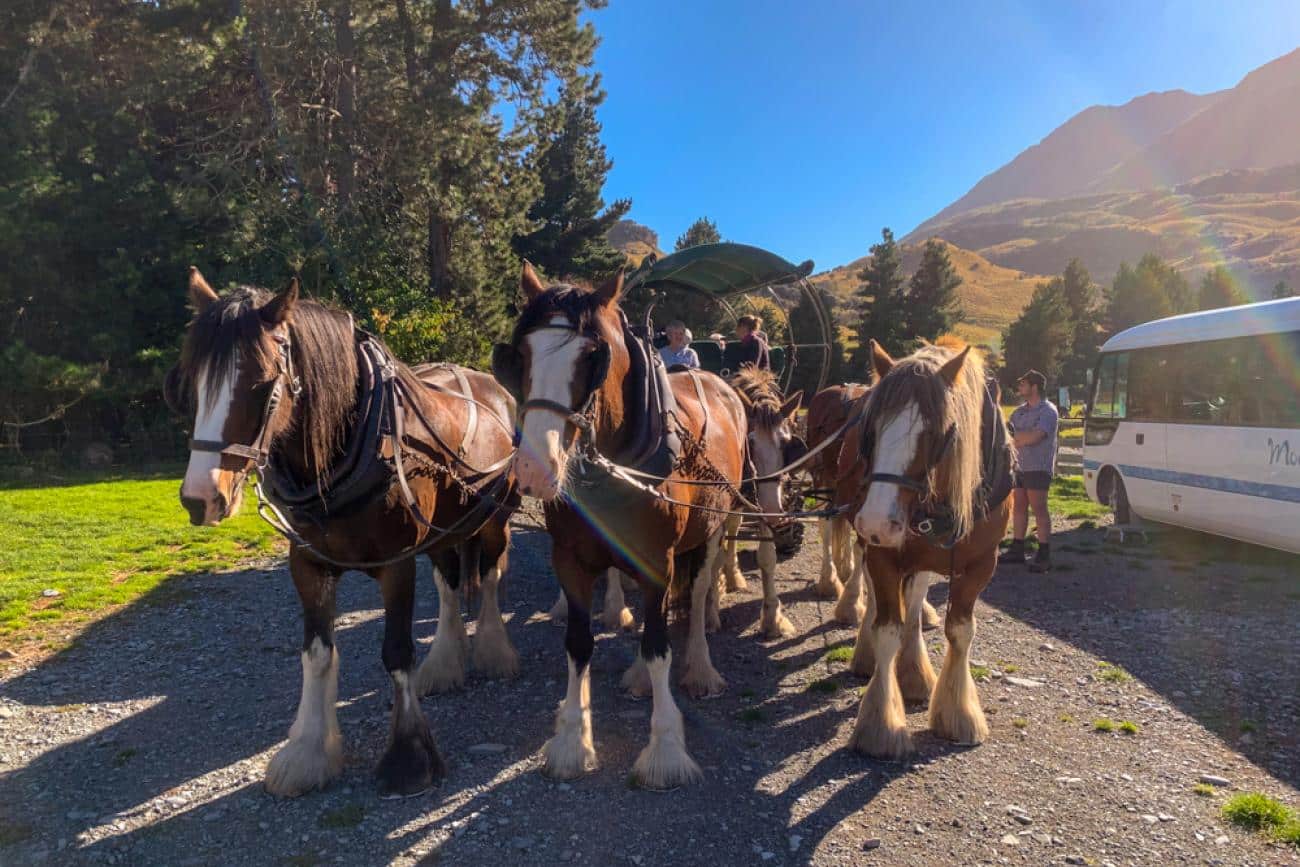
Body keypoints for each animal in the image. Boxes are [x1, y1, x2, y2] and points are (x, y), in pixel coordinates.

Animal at [167, 267, 517, 795]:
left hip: (492, 519)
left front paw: (409, 754)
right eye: (195, 382)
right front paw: (309, 751)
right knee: (450, 583)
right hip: (443, 528)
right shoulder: (308, 563)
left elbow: (396, 652)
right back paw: (445, 660)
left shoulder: (396, 564)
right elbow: (317, 654)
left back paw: (494, 650)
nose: (199, 498)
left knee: (491, 575)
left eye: (262, 384)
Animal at [493, 267, 743, 790]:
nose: (535, 469)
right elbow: (579, 642)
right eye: (520, 353)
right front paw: (572, 739)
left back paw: (700, 665)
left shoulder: (657, 560)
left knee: (699, 593)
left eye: (593, 356)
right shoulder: (569, 558)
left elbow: (659, 646)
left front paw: (665, 748)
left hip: (713, 529)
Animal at [832, 337, 1013, 759]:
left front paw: (958, 713)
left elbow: (959, 630)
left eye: (938, 431)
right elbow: (887, 629)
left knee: (914, 601)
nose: (877, 520)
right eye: (870, 429)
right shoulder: (883, 553)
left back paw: (913, 671)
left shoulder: (982, 564)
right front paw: (881, 725)